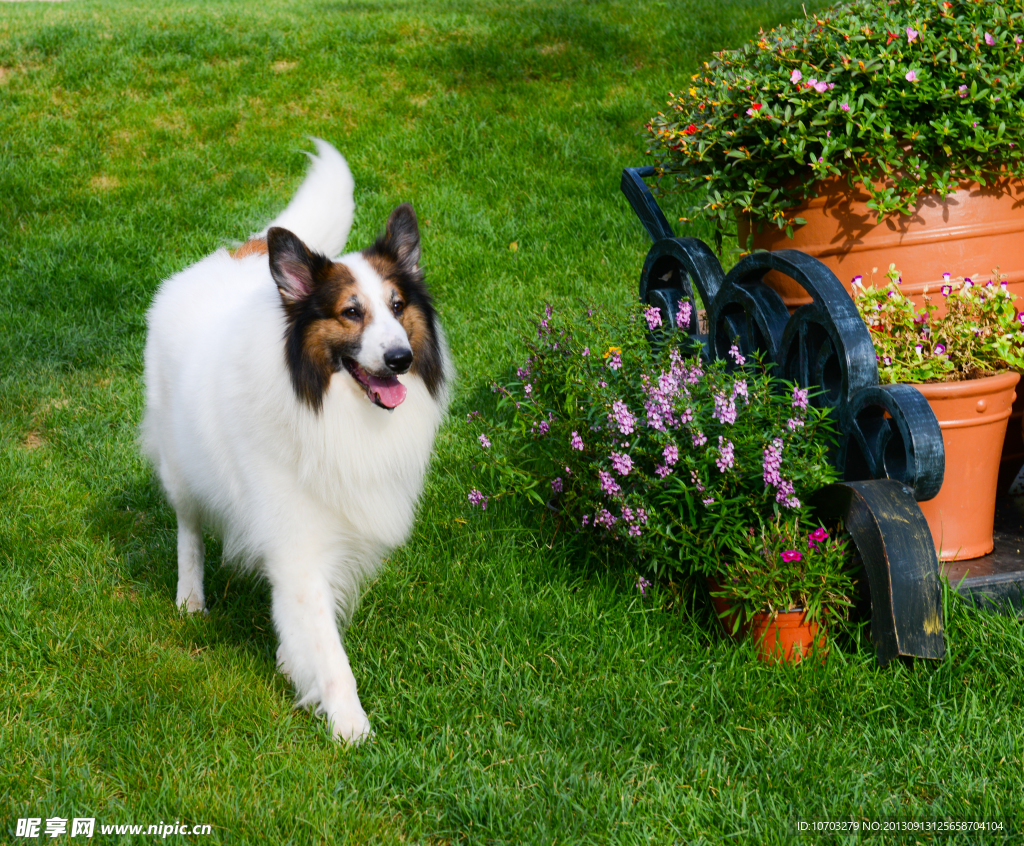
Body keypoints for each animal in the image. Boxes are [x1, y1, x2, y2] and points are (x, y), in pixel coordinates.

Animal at [139, 138, 448, 737]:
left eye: (398, 307)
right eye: (351, 312)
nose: (400, 359)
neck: (328, 405)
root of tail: (246, 250)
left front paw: (297, 669)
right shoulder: (298, 544)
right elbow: (326, 646)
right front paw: (351, 726)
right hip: (180, 468)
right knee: (189, 529)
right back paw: (190, 597)